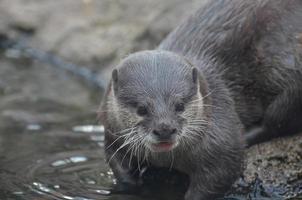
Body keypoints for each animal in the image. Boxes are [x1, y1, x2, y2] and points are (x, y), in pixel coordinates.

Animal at [100, 0, 302, 199]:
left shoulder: (221, 142)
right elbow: (118, 165)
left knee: (276, 119)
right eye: (141, 109)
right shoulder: (112, 133)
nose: (165, 128)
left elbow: (220, 174)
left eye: (180, 105)